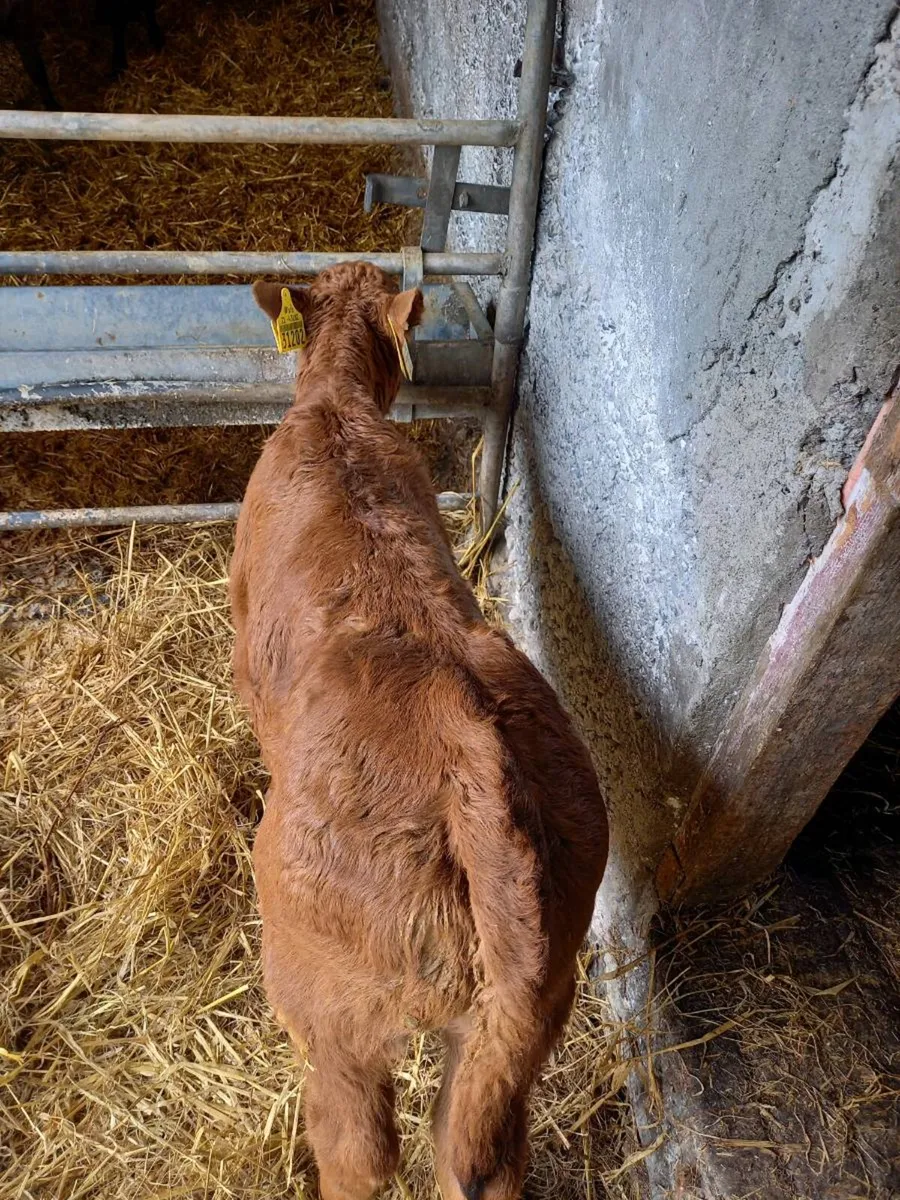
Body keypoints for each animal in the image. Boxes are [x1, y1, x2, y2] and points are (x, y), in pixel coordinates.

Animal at [229, 262, 609, 1200]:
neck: (333, 402)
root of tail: (472, 754)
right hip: (527, 1015)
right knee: (480, 1156)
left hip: (331, 1009)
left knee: (359, 1149)